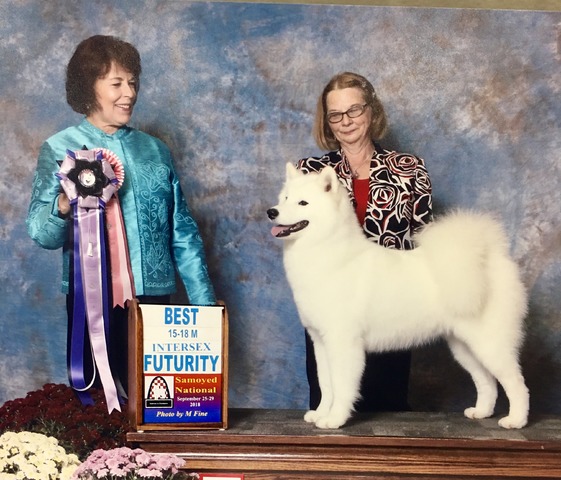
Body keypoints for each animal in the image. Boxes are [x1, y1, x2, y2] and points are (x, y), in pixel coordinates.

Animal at [266, 164, 528, 432]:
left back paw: (516, 420)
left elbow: (341, 386)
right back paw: (481, 412)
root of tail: (492, 258)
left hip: (490, 343)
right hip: (464, 346)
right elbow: (326, 385)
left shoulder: (343, 342)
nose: (271, 211)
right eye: (284, 198)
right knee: (487, 381)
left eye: (303, 202)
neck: (326, 251)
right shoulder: (320, 341)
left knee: (516, 383)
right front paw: (320, 414)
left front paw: (335, 419)